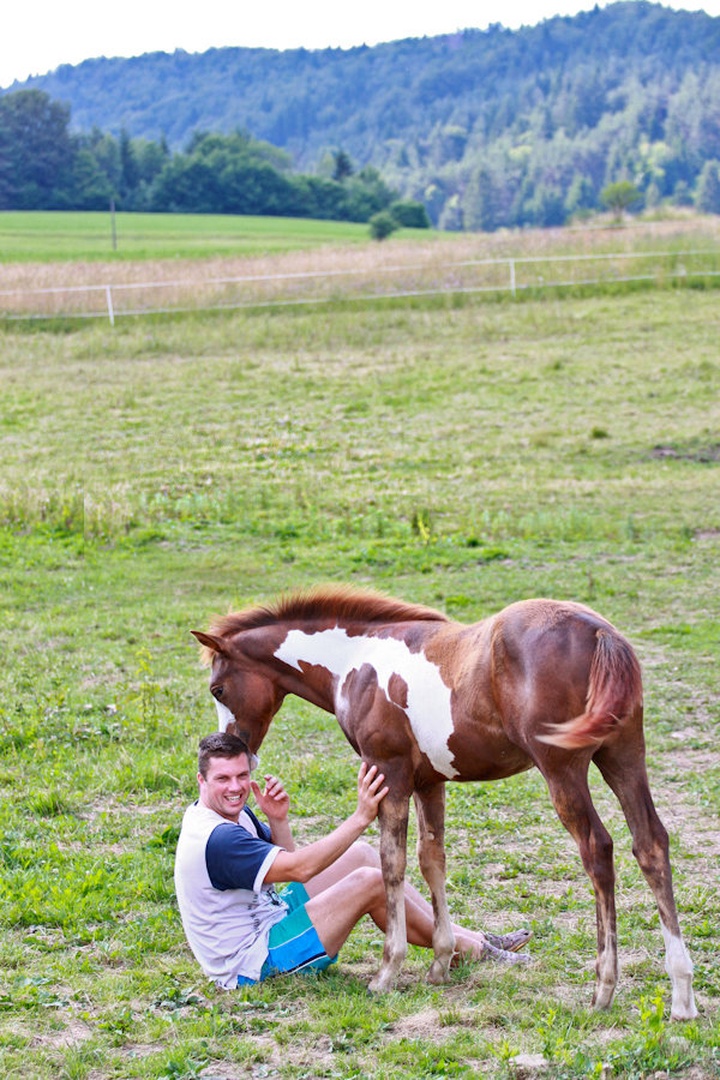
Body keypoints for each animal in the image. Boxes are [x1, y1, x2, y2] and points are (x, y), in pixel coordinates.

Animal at [191, 585, 697, 1019]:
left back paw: (604, 988)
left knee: (597, 850)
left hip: (563, 770)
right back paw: (682, 995)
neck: (356, 659)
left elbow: (391, 863)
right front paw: (439, 962)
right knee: (651, 844)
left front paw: (388, 971)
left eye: (218, 689)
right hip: (624, 758)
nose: (237, 750)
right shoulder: (429, 782)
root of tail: (598, 632)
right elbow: (431, 859)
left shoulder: (390, 773)